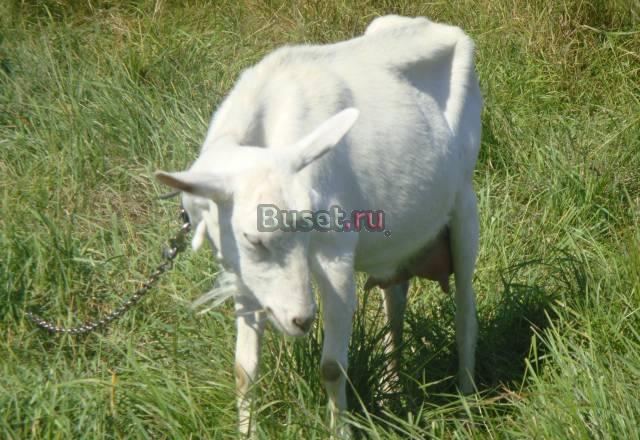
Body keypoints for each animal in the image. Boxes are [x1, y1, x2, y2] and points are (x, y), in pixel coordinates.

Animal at [156, 14, 482, 436]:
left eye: (309, 221)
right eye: (251, 239)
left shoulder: (336, 255)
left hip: (464, 208)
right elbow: (244, 369)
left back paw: (468, 402)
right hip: (403, 245)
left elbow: (331, 366)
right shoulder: (244, 273)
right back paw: (392, 389)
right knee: (395, 303)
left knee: (465, 309)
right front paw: (247, 431)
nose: (301, 319)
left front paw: (340, 432)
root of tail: (439, 26)